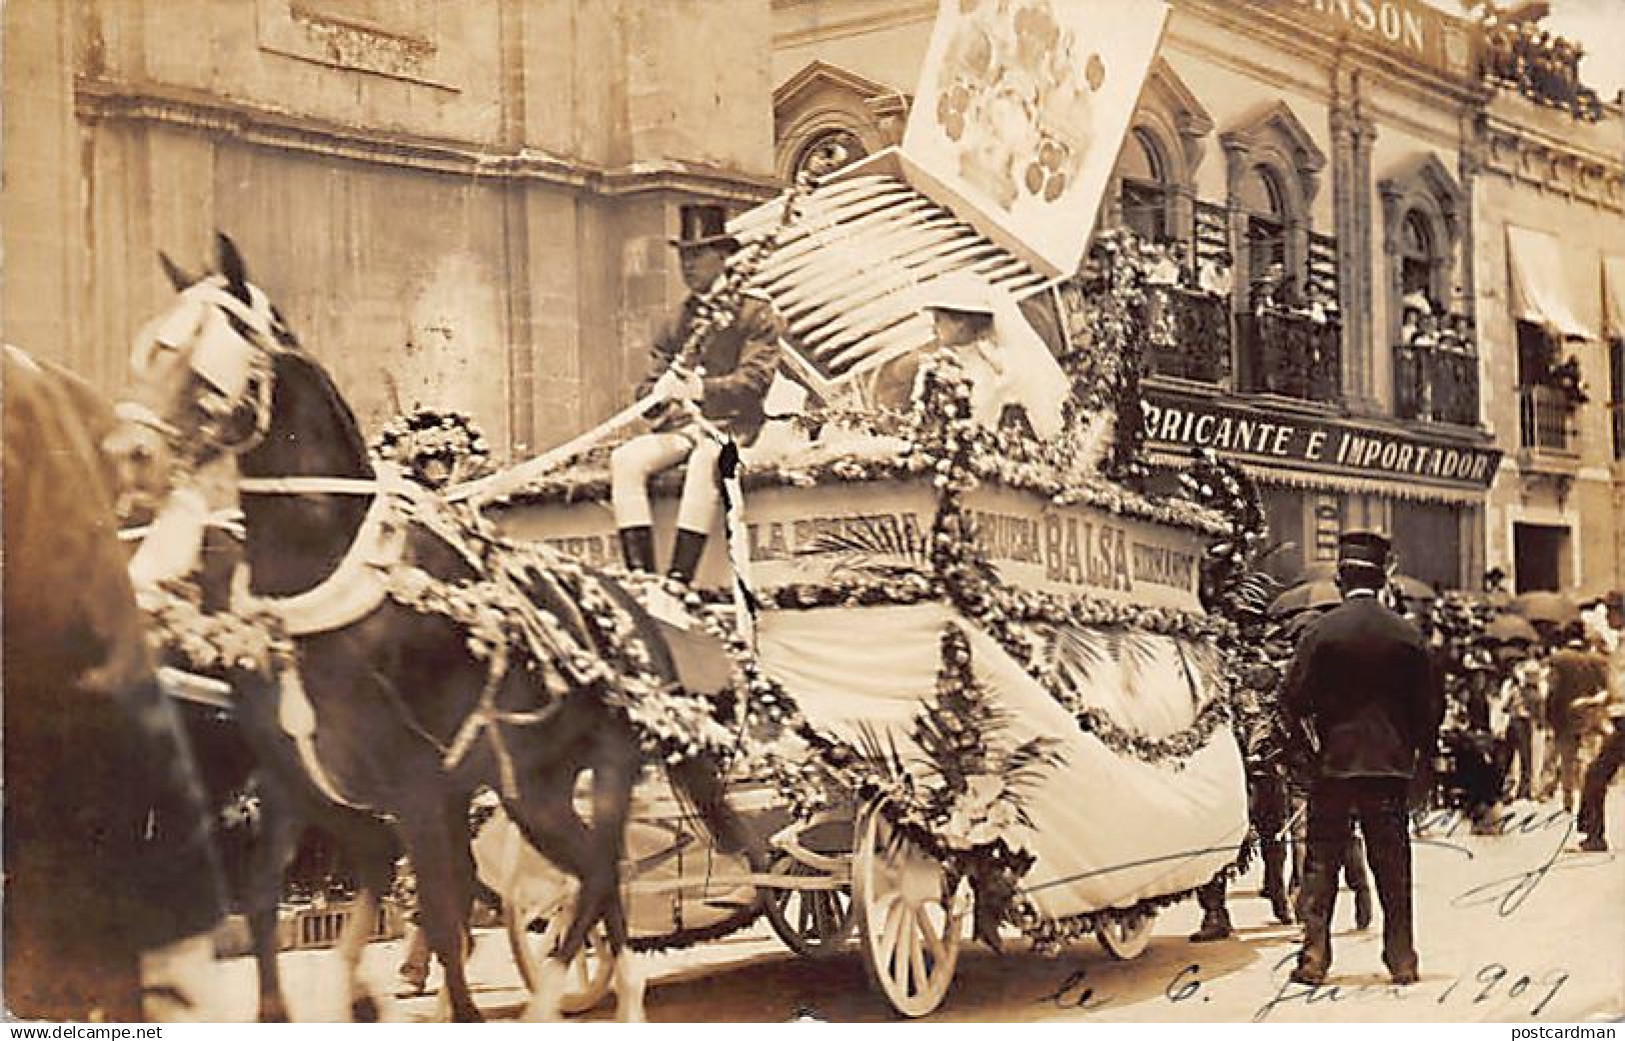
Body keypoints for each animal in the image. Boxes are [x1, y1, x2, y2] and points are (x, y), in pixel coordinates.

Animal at [108, 233, 754, 1013]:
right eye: (146, 345)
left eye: (202, 352)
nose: (128, 456)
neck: (327, 579)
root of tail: (634, 605)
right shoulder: (299, 784)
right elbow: (276, 903)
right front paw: (339, 993)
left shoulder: (416, 788)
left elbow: (443, 916)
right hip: (533, 788)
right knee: (597, 883)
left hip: (592, 773)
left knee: (598, 874)